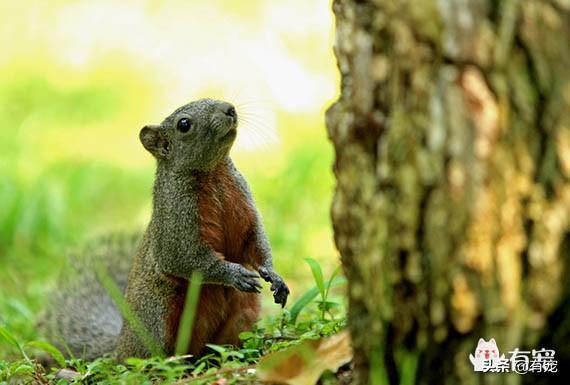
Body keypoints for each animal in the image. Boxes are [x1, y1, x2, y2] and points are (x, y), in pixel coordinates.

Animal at [40, 98, 288, 360]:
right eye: (184, 124)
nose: (229, 109)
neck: (213, 172)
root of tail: (118, 347)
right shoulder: (174, 222)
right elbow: (186, 259)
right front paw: (233, 274)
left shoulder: (244, 205)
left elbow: (255, 242)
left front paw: (273, 275)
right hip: (158, 318)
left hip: (244, 311)